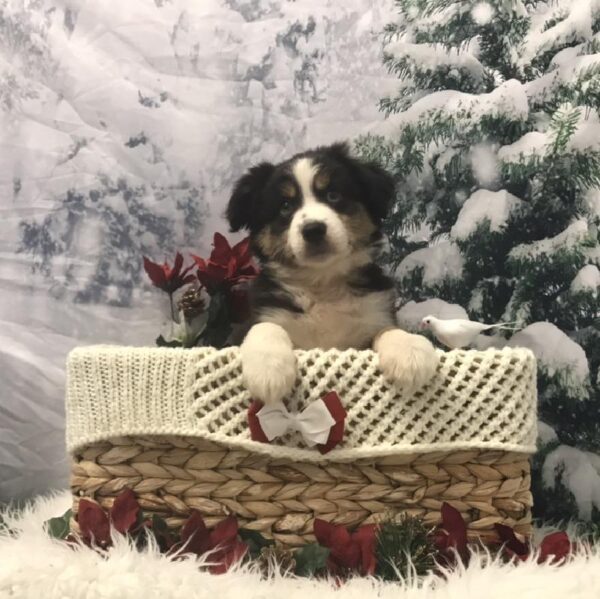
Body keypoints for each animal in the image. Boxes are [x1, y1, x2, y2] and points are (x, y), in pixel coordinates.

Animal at [225, 142, 436, 404]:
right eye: (285, 207)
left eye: (333, 195)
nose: (313, 229)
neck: (323, 283)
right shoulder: (261, 315)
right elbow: (265, 327)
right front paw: (268, 370)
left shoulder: (372, 321)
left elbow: (388, 329)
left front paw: (410, 352)